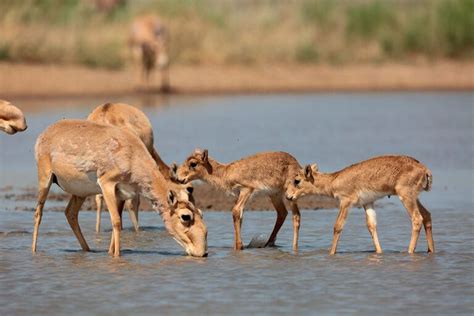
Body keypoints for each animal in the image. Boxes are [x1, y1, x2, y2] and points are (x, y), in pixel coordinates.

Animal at [31, 120, 206, 256]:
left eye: (201, 213)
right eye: (185, 216)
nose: (203, 252)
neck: (132, 155)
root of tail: (45, 133)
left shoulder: (121, 194)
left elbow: (119, 221)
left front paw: (110, 253)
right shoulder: (107, 184)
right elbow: (115, 221)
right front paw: (116, 256)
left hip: (80, 193)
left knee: (70, 213)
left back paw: (87, 250)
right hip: (45, 180)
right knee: (38, 213)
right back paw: (34, 251)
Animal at [175, 149, 304, 251]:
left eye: (193, 163)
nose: (178, 178)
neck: (225, 172)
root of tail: (297, 163)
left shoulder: (247, 189)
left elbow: (236, 211)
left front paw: (239, 247)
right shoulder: (238, 195)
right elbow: (239, 216)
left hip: (290, 193)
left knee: (296, 216)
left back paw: (294, 247)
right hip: (274, 195)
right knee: (282, 213)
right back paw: (268, 244)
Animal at [284, 156, 436, 254]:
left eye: (297, 180)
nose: (288, 196)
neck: (334, 180)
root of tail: (425, 170)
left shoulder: (345, 202)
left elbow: (337, 226)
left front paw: (331, 253)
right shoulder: (367, 203)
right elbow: (371, 226)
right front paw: (379, 252)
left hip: (406, 196)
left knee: (417, 219)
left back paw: (409, 251)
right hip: (414, 197)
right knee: (427, 215)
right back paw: (431, 250)